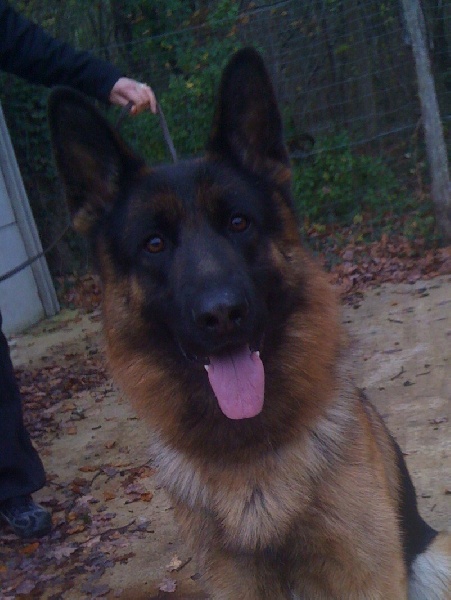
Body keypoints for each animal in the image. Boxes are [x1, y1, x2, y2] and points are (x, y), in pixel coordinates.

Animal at [48, 48, 451, 599]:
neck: (253, 457)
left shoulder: (365, 573)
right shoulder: (235, 580)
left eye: (238, 223)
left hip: (435, 557)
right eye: (154, 244)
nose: (221, 315)